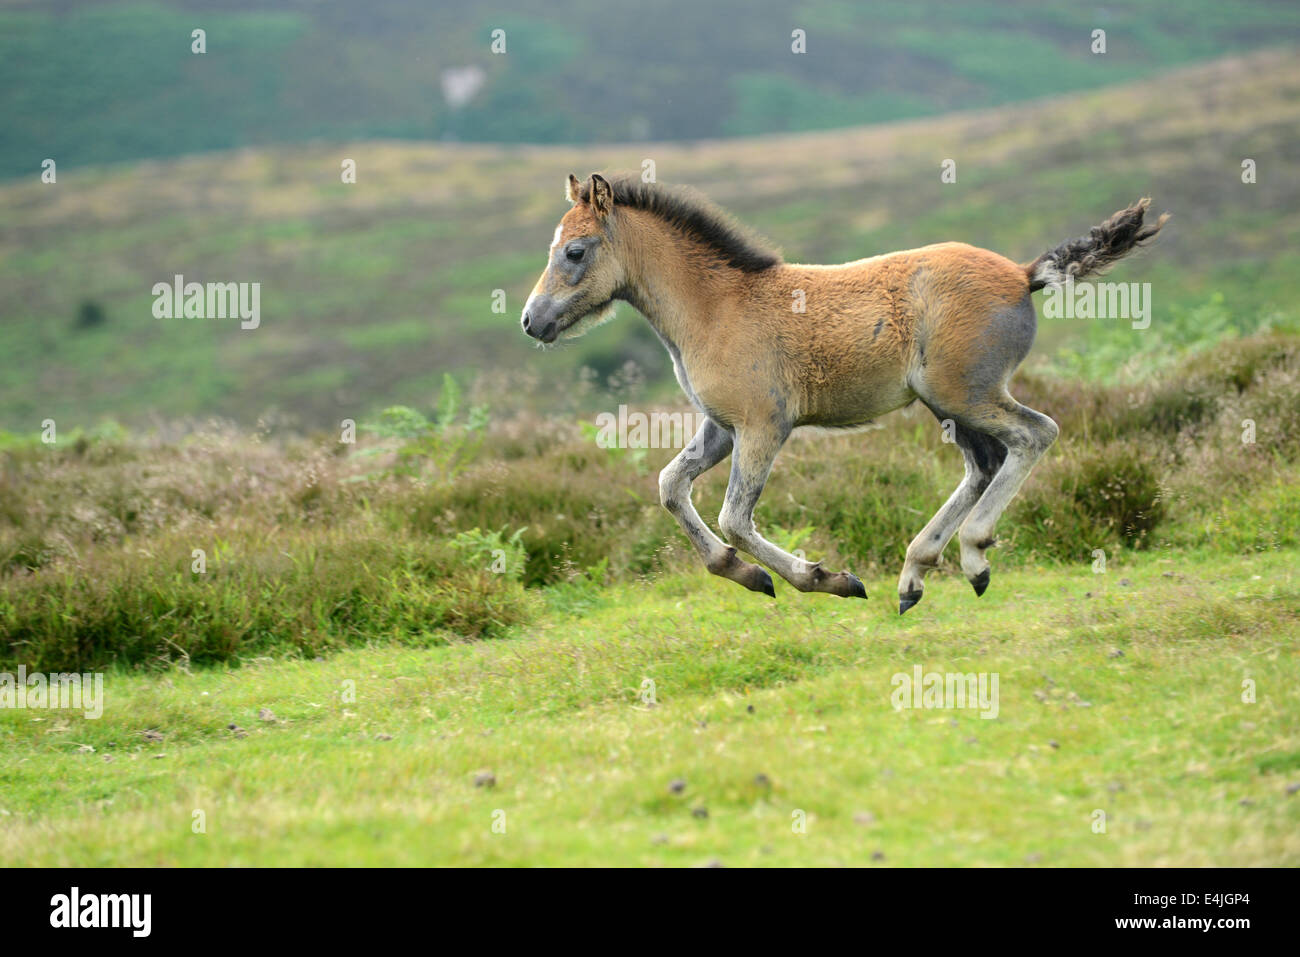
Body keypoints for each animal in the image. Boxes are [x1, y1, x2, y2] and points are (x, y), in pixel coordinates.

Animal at [522, 172, 1166, 613]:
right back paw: (915, 575)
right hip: (948, 404)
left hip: (966, 393)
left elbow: (735, 518)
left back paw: (973, 553)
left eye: (575, 251)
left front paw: (823, 580)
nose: (532, 321)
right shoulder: (721, 428)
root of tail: (1022, 273)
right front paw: (742, 573)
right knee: (984, 463)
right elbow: (669, 487)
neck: (716, 307)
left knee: (1035, 434)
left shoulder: (763, 426)